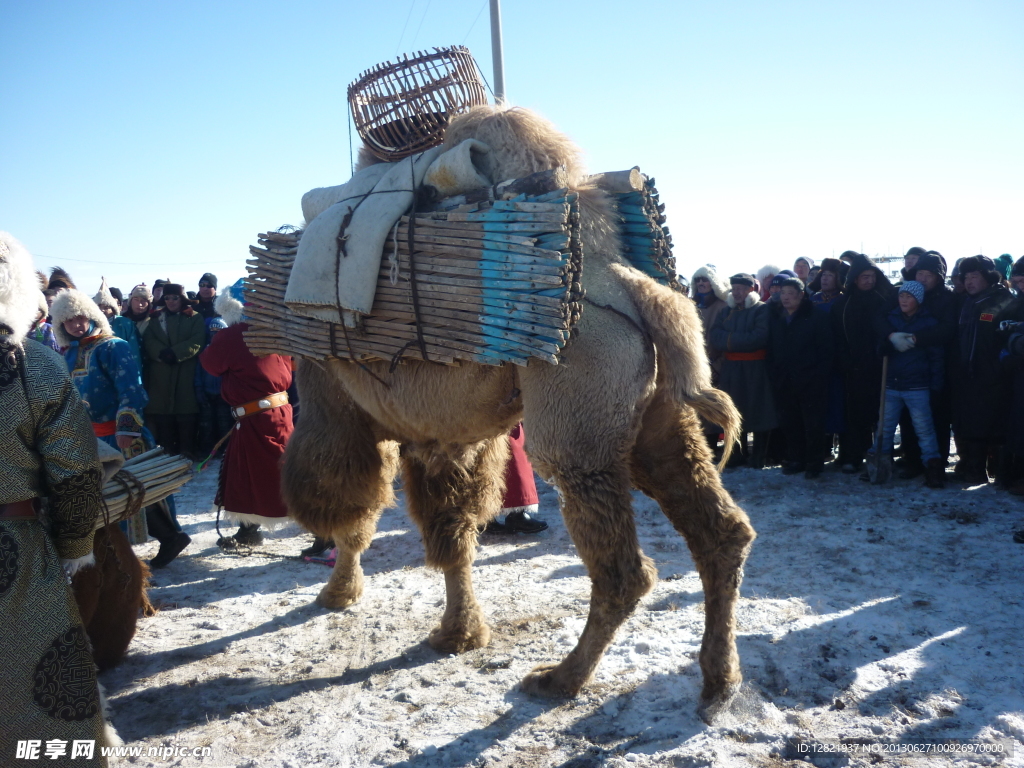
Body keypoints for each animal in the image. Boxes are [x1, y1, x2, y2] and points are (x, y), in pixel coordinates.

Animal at [278, 103, 753, 720]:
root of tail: (630, 284)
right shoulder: (445, 433)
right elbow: (452, 528)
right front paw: (457, 634)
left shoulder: (333, 402)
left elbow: (353, 510)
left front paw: (338, 592)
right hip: (658, 419)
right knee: (720, 532)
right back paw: (719, 682)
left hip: (579, 420)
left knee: (623, 570)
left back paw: (560, 680)